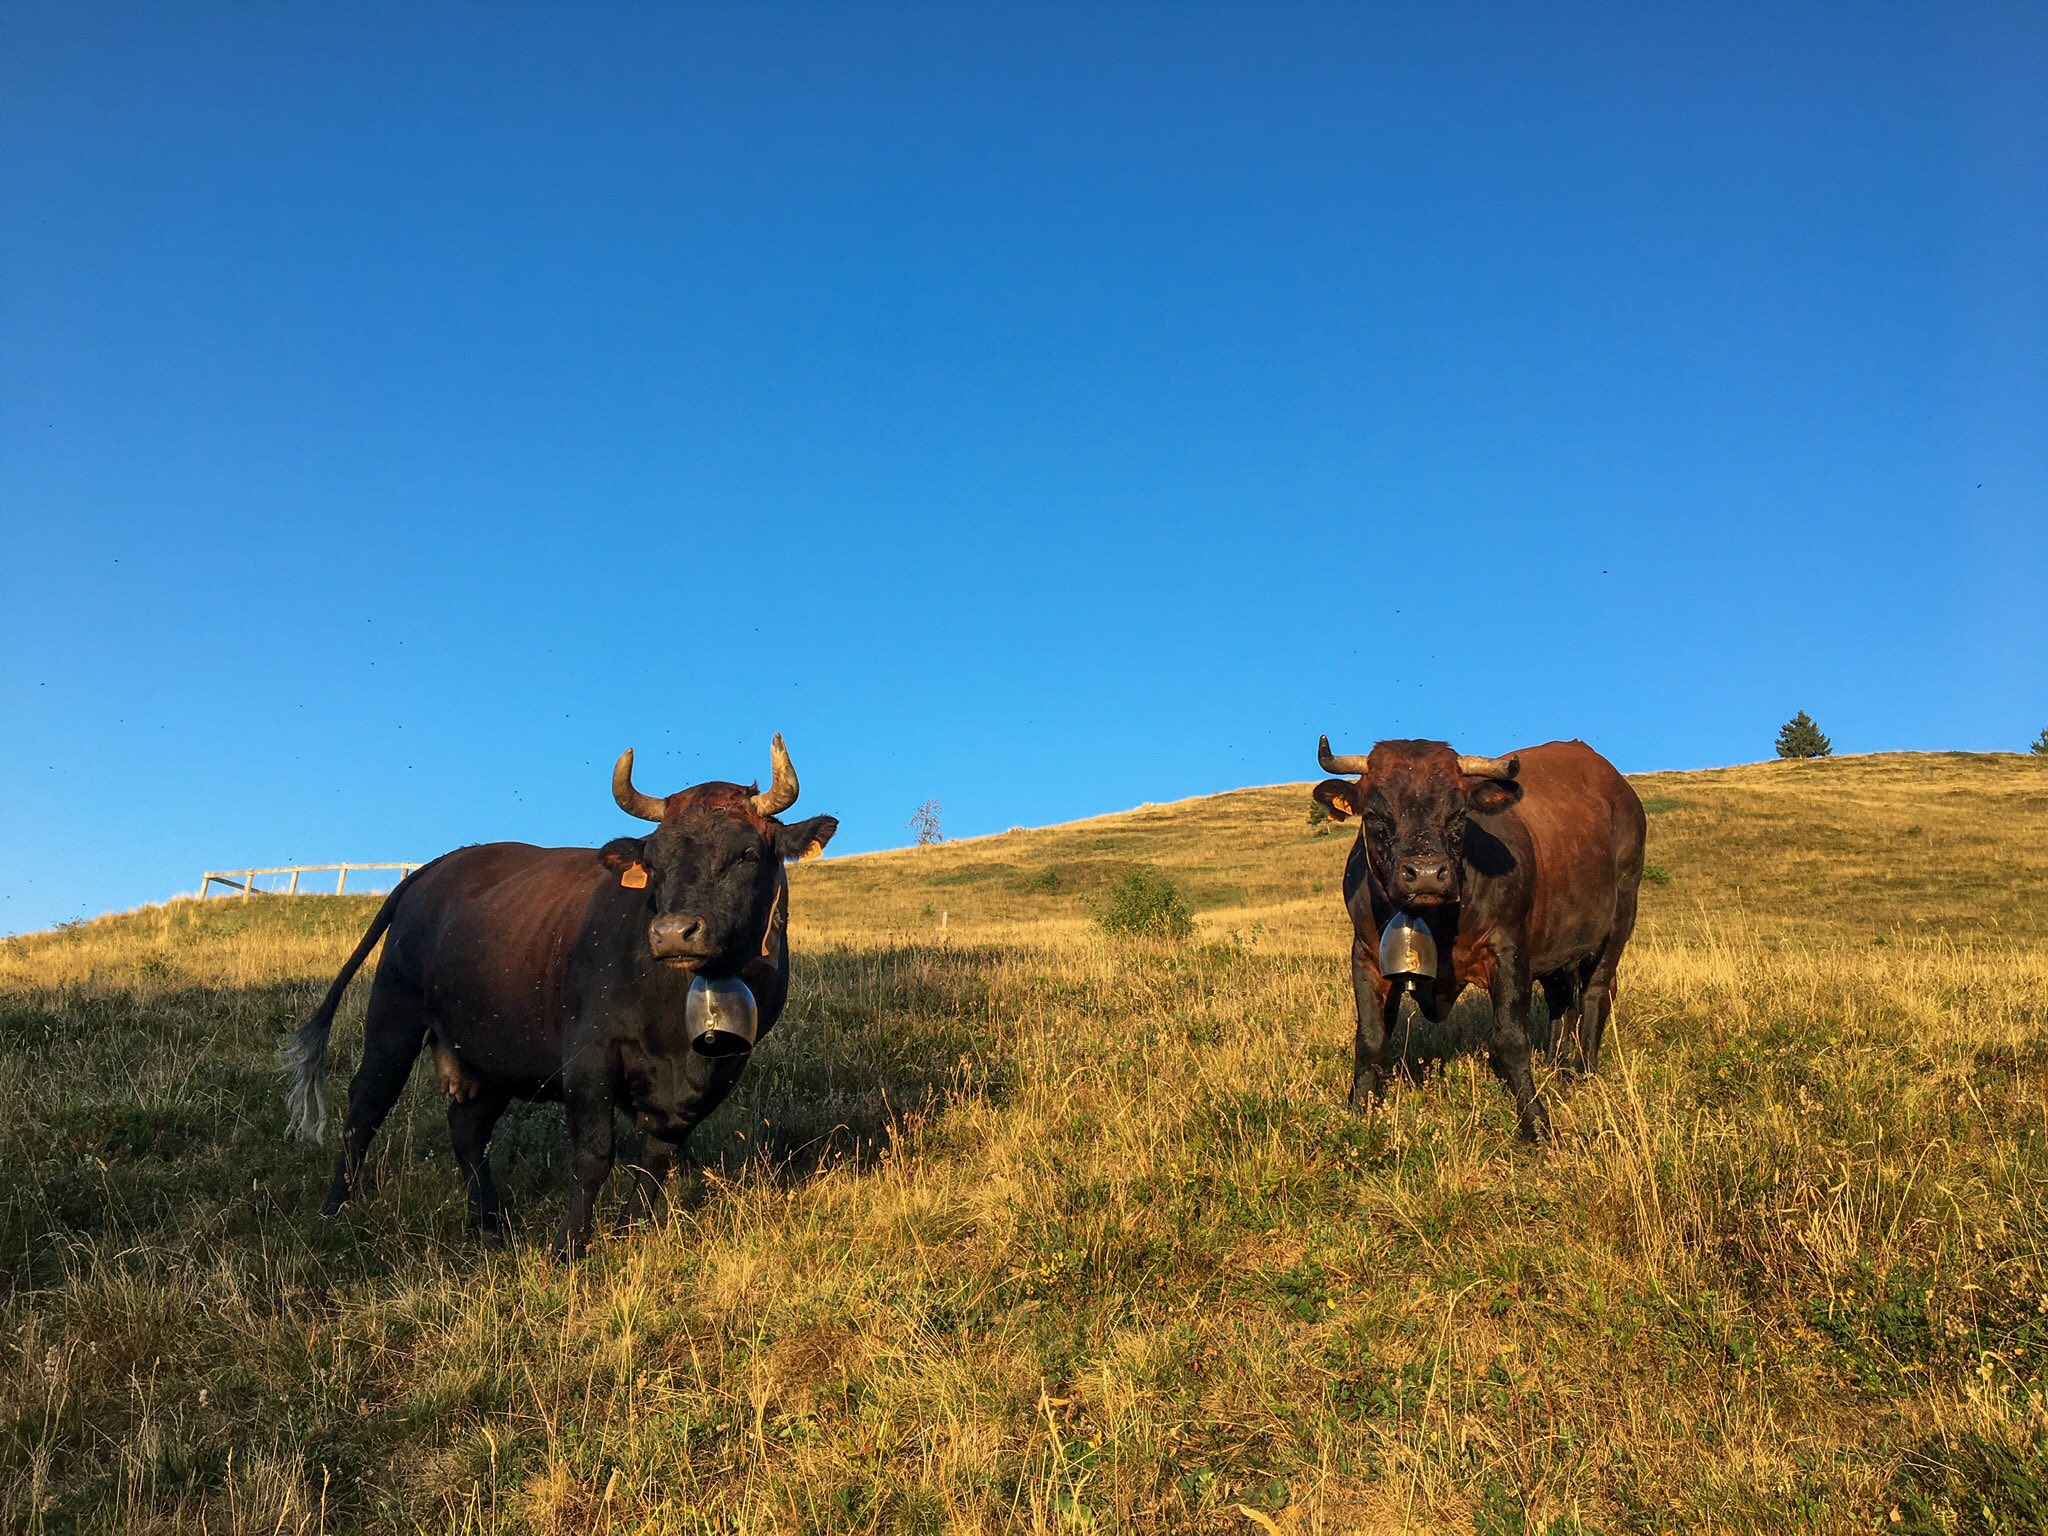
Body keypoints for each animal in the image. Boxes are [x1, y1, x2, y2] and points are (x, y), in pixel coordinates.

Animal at [283, 735, 837, 1256]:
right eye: (655, 861)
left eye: (747, 854)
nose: (673, 933)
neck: (675, 1025)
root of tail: (432, 870)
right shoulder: (589, 1058)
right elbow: (593, 1156)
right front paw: (569, 1247)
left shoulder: (716, 1073)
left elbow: (656, 1161)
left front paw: (627, 1235)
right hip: (393, 1020)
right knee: (365, 1107)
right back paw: (335, 1207)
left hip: (491, 1052)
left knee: (468, 1129)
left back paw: (489, 1223)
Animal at [1311, 737, 1645, 1140]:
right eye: (1374, 813)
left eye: (1458, 814)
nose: (1426, 873)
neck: (1434, 921)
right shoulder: (1365, 954)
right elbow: (1371, 1039)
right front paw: (1357, 1110)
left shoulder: (1508, 951)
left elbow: (1511, 1038)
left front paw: (1535, 1120)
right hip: (1555, 944)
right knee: (1560, 1000)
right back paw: (1555, 1064)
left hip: (1620, 915)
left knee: (1597, 992)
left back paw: (1583, 1071)